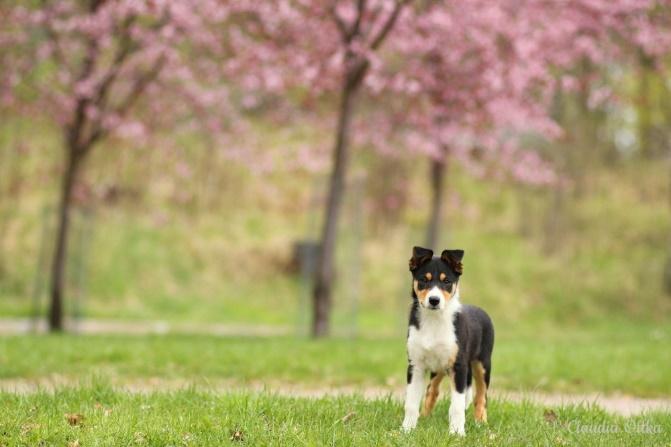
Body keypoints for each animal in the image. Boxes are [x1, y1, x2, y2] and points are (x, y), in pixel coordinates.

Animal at [402, 247, 496, 436]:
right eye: (423, 280)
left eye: (447, 282)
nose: (434, 300)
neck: (434, 320)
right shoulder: (415, 365)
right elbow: (411, 402)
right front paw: (407, 429)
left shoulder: (458, 367)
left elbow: (457, 406)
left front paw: (457, 433)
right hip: (438, 368)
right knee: (432, 391)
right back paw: (425, 418)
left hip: (482, 364)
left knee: (481, 396)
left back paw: (481, 423)